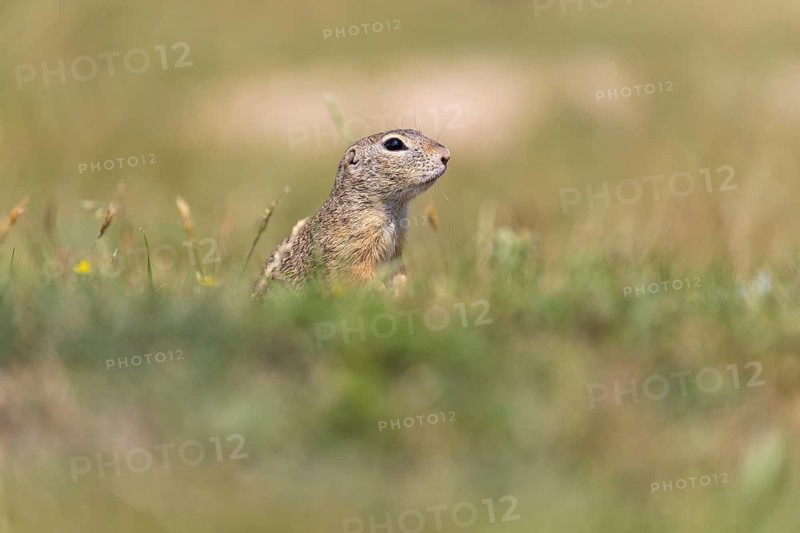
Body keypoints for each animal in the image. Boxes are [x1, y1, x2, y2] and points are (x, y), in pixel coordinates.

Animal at [252, 129, 450, 297]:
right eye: (394, 144)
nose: (447, 155)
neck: (394, 212)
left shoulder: (396, 250)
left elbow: (398, 273)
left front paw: (403, 289)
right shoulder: (350, 248)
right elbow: (356, 276)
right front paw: (385, 293)